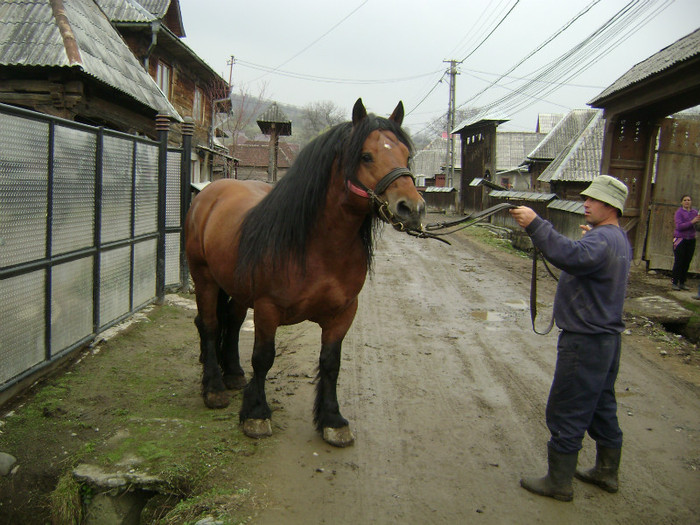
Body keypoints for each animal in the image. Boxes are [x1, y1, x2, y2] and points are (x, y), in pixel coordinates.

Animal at [183, 99, 424, 446]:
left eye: (406, 155)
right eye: (366, 155)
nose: (412, 208)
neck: (317, 246)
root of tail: (208, 193)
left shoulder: (343, 313)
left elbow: (331, 362)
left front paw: (332, 419)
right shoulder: (268, 309)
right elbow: (263, 357)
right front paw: (256, 414)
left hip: (237, 289)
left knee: (232, 322)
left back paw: (234, 375)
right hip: (204, 278)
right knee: (210, 324)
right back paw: (214, 387)